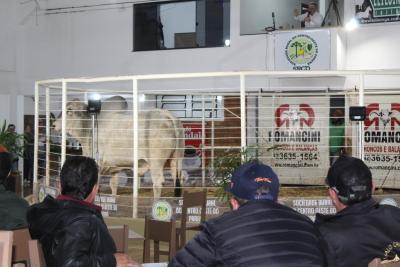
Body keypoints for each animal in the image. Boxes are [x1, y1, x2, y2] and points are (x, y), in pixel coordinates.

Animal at [53, 99, 184, 198]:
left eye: (69, 110)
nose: (54, 125)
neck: (90, 128)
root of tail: (167, 115)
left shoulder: (98, 163)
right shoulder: (113, 167)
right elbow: (113, 184)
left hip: (156, 162)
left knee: (158, 182)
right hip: (176, 159)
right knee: (178, 178)